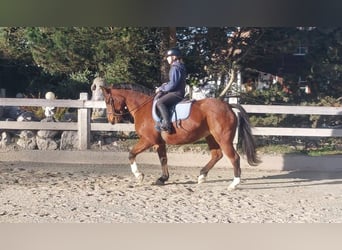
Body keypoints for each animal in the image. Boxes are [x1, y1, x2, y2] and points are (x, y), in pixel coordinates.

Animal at [101, 84, 260, 189]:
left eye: (108, 101)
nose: (111, 120)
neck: (142, 107)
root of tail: (228, 106)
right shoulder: (159, 142)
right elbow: (163, 159)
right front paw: (163, 179)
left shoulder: (148, 140)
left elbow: (131, 154)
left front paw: (139, 175)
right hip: (211, 137)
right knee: (217, 155)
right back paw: (202, 176)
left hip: (223, 139)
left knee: (234, 158)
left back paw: (234, 183)